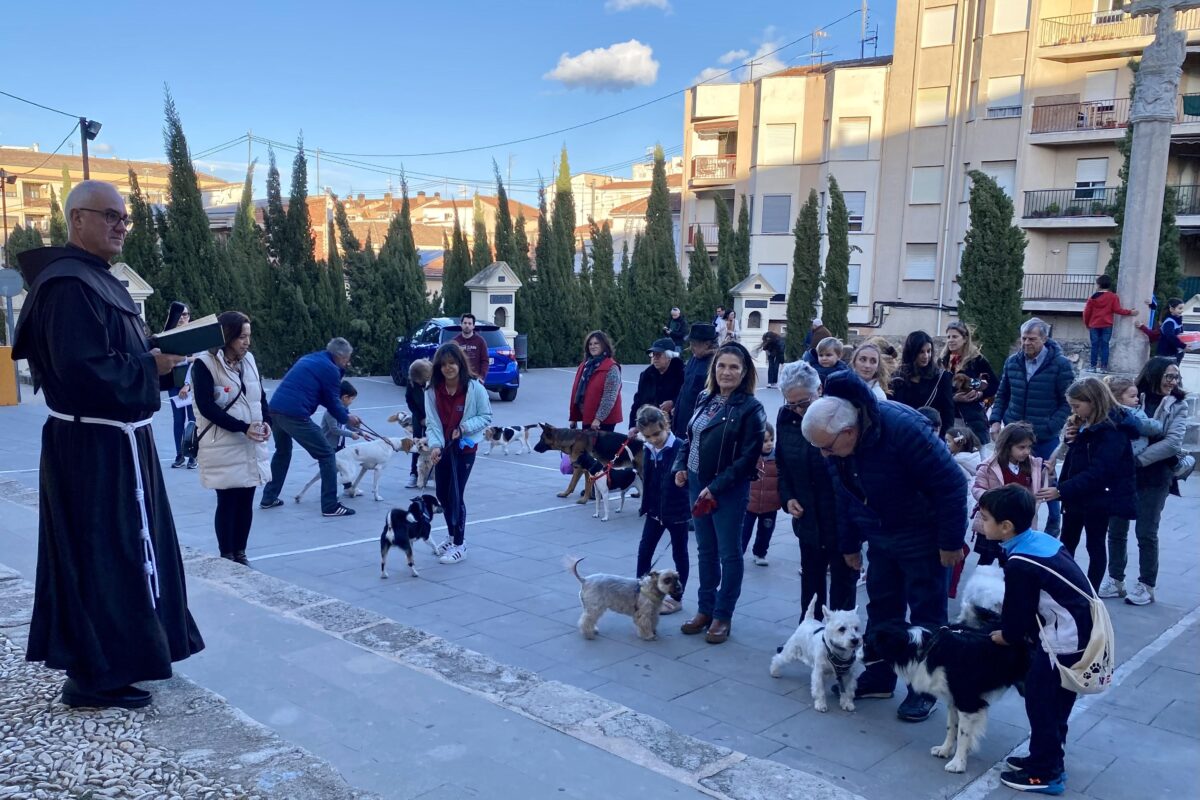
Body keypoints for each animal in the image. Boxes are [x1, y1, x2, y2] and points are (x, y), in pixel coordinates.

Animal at [864, 623, 1032, 772]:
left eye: (867, 644)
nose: (857, 646)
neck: (927, 649)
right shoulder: (953, 700)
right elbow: (951, 727)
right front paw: (944, 750)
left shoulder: (967, 701)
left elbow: (963, 734)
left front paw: (958, 764)